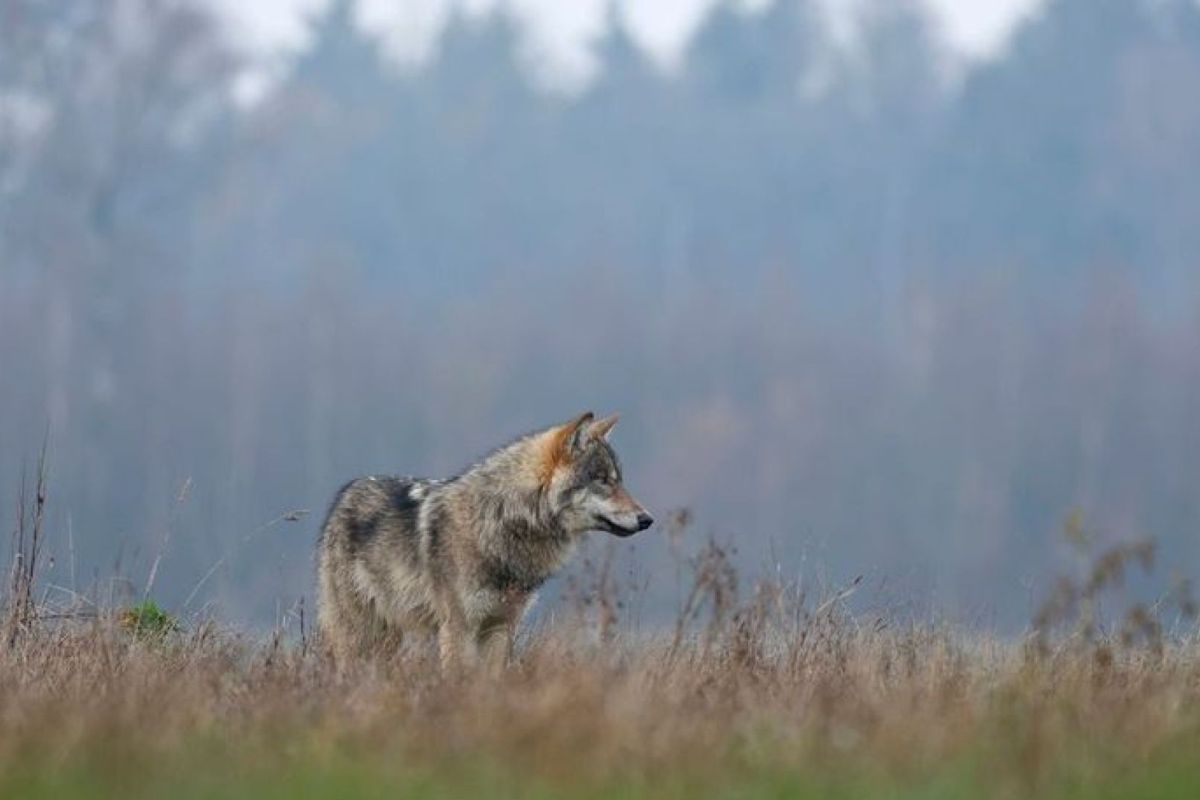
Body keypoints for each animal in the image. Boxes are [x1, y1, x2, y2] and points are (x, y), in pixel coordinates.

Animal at [319, 412, 652, 671]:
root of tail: (348, 491)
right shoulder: (458, 628)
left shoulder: (501, 627)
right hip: (359, 631)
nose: (647, 519)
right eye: (602, 480)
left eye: (618, 480)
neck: (504, 519)